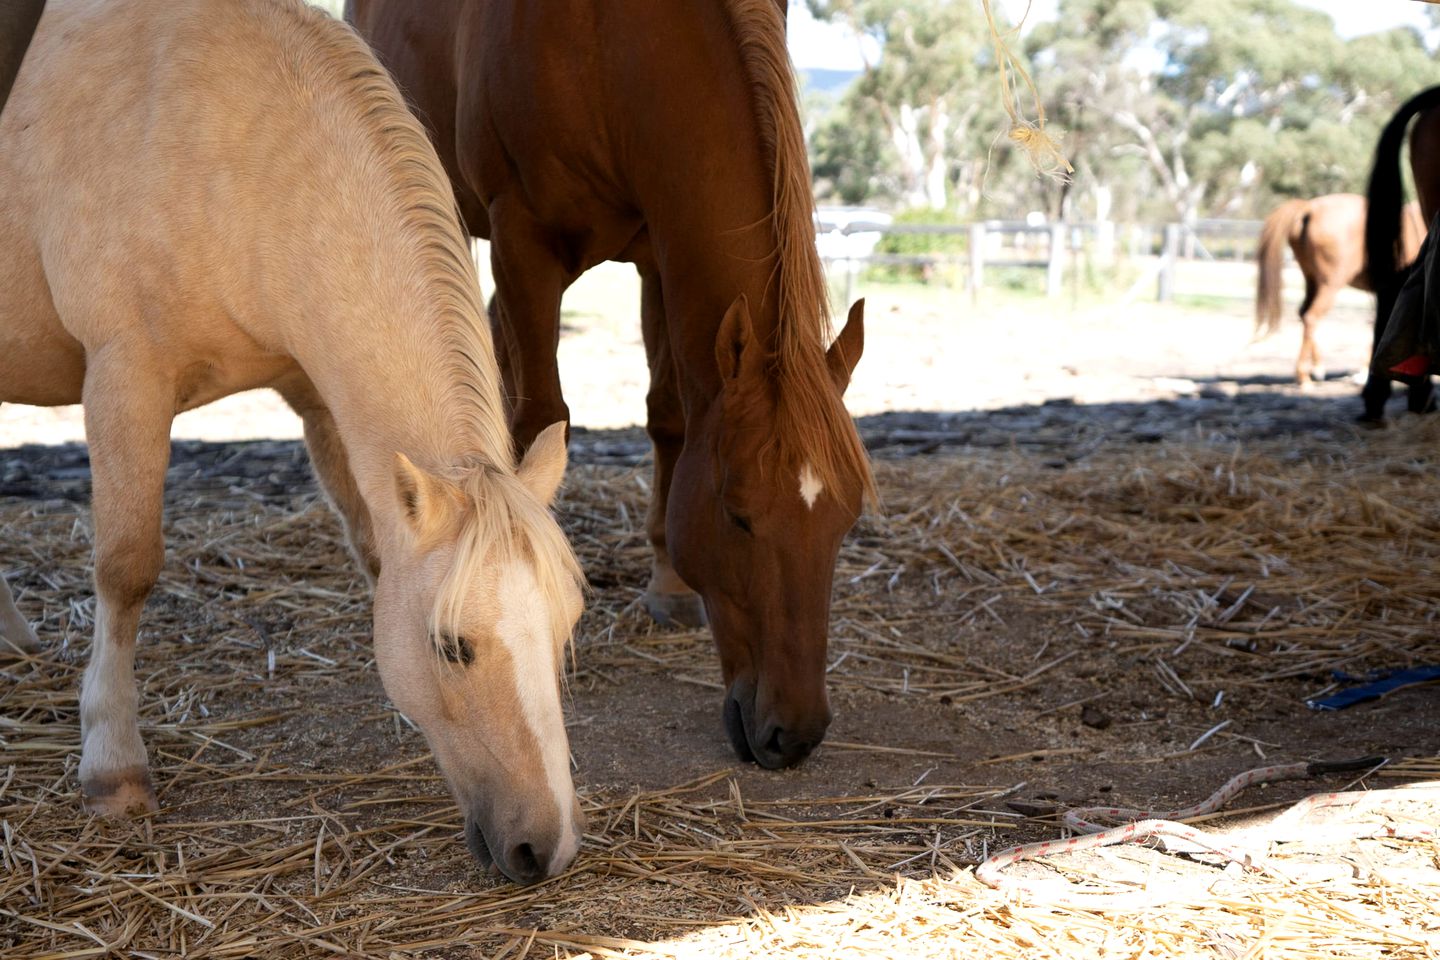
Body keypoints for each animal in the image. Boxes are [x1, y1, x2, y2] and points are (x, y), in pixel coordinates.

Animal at [1, 0, 584, 886]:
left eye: (565, 625)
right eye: (453, 647)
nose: (544, 848)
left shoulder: (318, 399)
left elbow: (374, 555)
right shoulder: (125, 378)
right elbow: (126, 568)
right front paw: (113, 764)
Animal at [345, 0, 875, 771]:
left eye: (845, 520)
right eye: (738, 515)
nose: (794, 734)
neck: (604, 44)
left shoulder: (660, 250)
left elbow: (671, 416)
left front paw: (669, 584)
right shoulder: (522, 241)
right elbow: (542, 415)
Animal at [1255, 192, 1422, 388]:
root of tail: (1310, 208)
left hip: (1311, 280)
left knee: (1303, 313)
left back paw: (1317, 368)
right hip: (1330, 285)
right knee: (1311, 317)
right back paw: (1304, 377)